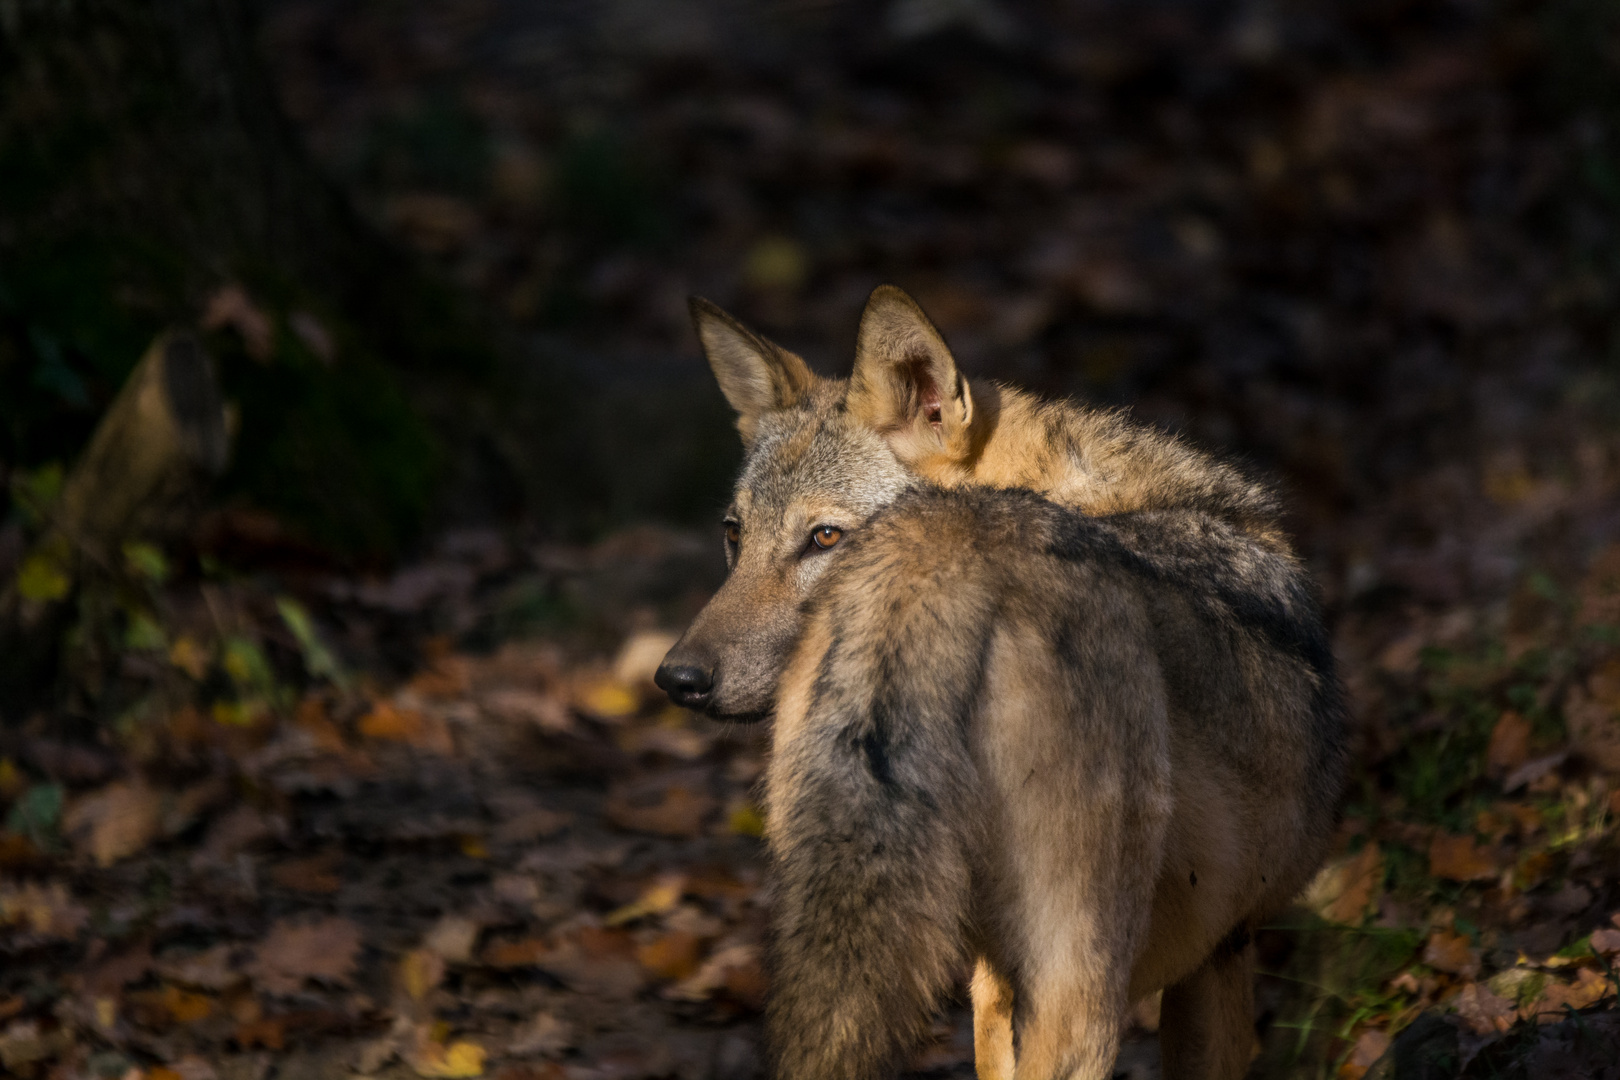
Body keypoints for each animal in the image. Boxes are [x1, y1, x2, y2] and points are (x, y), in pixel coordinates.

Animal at [651, 286, 1347, 1080]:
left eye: (823, 537)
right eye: (737, 535)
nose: (677, 679)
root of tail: (940, 549)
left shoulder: (993, 984)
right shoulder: (1222, 958)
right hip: (1084, 989)